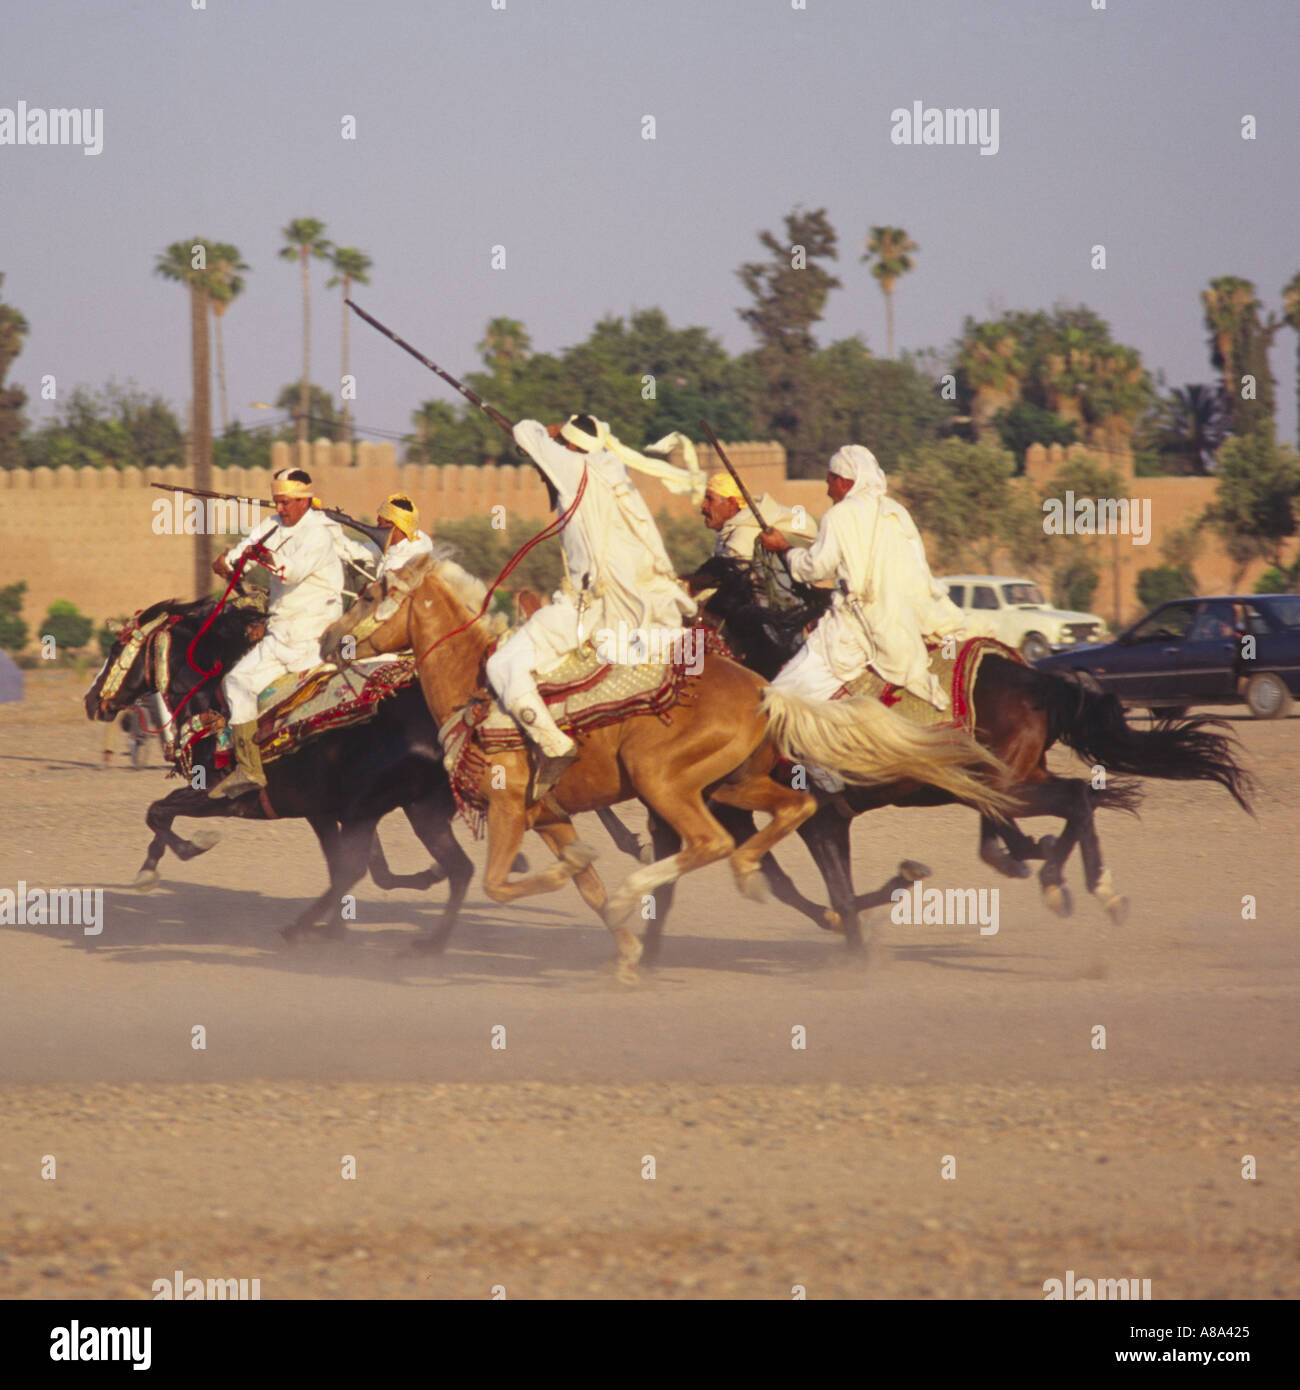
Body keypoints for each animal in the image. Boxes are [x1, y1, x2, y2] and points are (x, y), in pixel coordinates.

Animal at [86, 592, 475, 950]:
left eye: (116, 647)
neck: (215, 704)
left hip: (373, 810)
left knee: (374, 870)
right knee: (455, 868)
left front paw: (187, 849)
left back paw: (302, 929)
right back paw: (425, 935)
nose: (91, 700)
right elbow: (367, 869)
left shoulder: (219, 796)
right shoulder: (321, 812)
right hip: (413, 809)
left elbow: (157, 812)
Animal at [318, 547, 1017, 984]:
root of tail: (764, 691)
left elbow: (505, 883)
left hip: (664, 783)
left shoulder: (512, 807)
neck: (474, 686)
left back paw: (681, 884)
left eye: (374, 591)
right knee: (792, 810)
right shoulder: (550, 815)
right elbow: (588, 890)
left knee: (707, 844)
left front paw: (609, 913)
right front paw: (626, 952)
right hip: (733, 784)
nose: (329, 639)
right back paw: (754, 878)